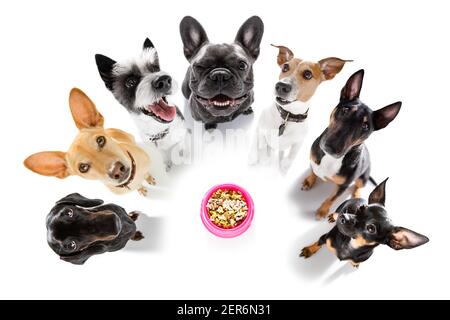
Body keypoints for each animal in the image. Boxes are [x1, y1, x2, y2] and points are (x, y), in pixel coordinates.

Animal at [300, 179, 428, 266]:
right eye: (360, 209)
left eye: (371, 228)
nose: (344, 216)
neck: (350, 245)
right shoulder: (325, 238)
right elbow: (317, 243)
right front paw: (309, 250)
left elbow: (355, 262)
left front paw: (355, 264)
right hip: (339, 209)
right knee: (335, 213)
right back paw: (333, 216)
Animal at [302, 70, 400, 219]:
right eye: (345, 110)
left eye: (365, 126)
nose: (331, 147)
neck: (331, 160)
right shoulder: (313, 159)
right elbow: (313, 170)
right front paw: (309, 180)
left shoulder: (343, 186)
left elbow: (332, 198)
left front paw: (322, 211)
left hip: (363, 176)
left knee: (359, 185)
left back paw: (356, 195)